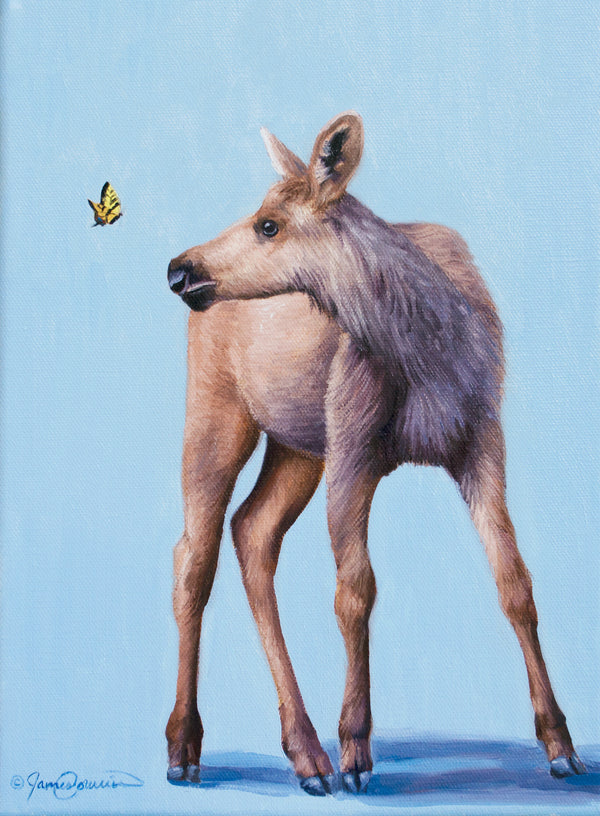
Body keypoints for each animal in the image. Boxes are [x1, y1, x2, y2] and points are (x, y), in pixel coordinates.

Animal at [165, 111, 585, 795]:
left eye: (269, 223)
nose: (178, 269)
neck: (427, 347)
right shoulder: (354, 447)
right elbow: (355, 591)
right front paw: (357, 748)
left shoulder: (482, 441)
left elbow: (515, 582)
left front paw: (560, 743)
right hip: (217, 414)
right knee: (193, 557)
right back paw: (187, 746)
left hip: (297, 445)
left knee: (251, 531)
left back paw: (304, 751)